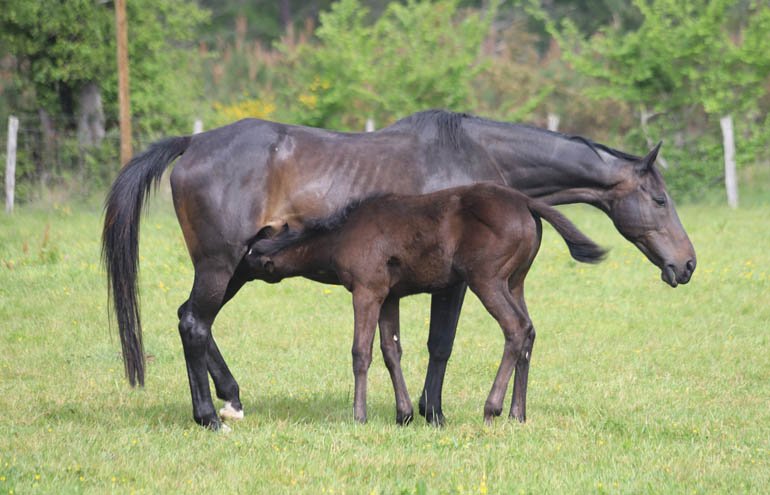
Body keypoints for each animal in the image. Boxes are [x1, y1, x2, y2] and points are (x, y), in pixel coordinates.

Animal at [246, 182, 607, 424]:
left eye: (250, 254)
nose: (236, 269)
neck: (342, 232)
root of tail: (526, 202)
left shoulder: (366, 291)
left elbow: (361, 352)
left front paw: (359, 415)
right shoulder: (389, 297)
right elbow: (391, 351)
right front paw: (403, 414)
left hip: (487, 280)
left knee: (516, 328)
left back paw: (492, 408)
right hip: (514, 282)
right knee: (529, 332)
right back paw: (518, 413)